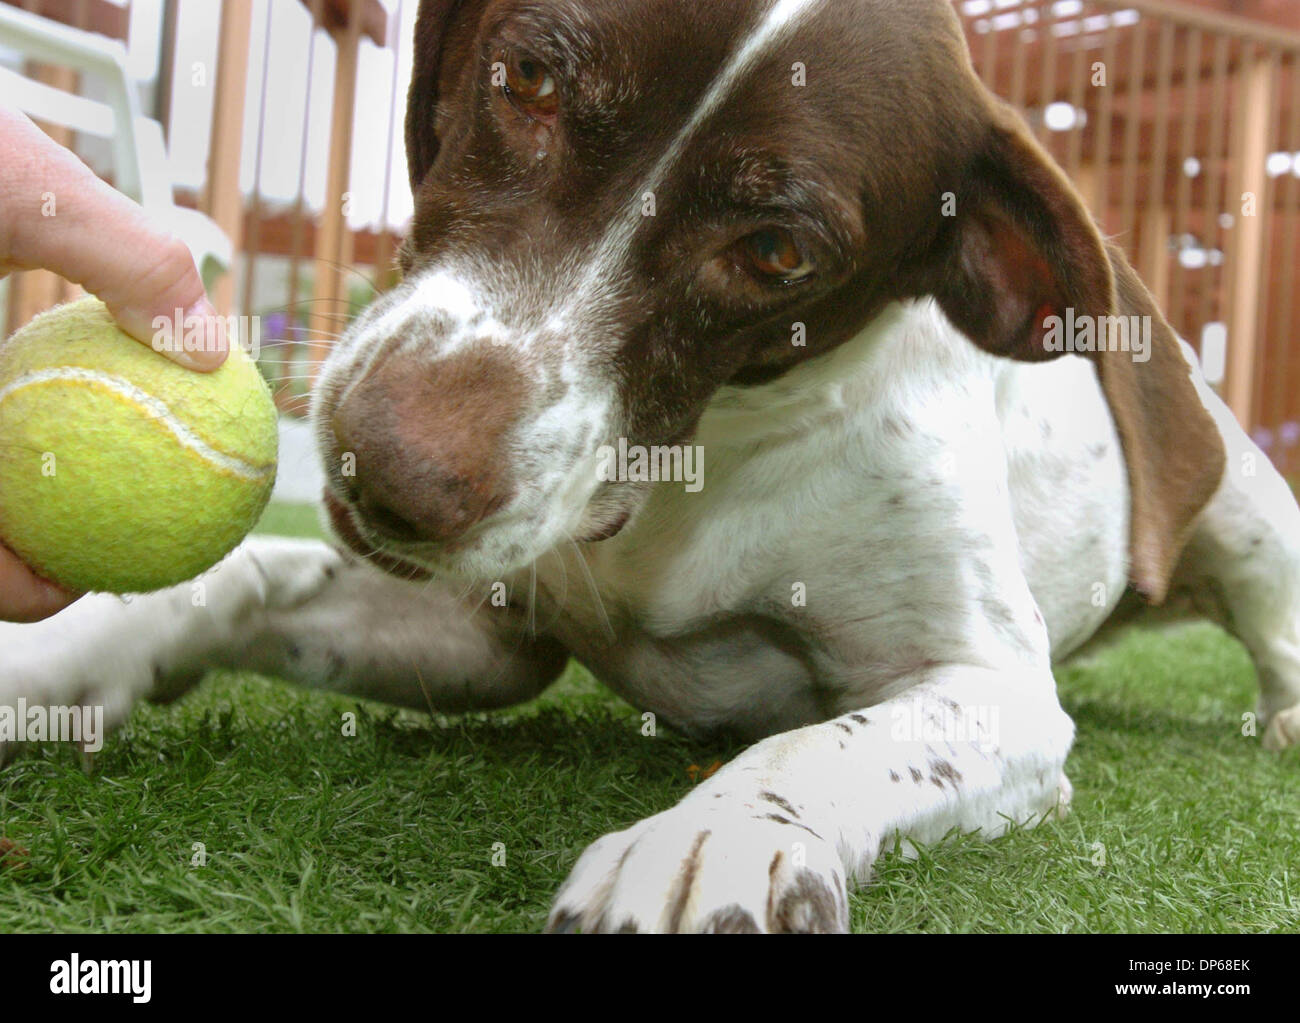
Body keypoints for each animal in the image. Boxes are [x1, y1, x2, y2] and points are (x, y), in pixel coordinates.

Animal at [2, 0, 1300, 930]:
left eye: (776, 251)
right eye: (527, 78)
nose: (394, 473)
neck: (692, 469)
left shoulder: (991, 691)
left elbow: (818, 745)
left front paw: (715, 838)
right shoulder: (488, 637)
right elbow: (232, 586)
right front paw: (59, 665)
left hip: (1248, 516)